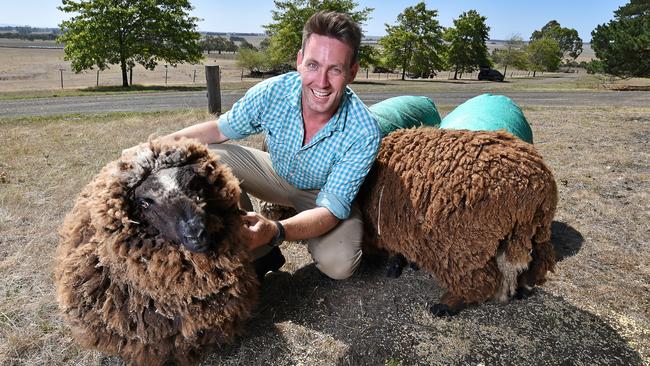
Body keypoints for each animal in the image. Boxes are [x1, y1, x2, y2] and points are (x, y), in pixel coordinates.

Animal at [356, 127, 556, 316]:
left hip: (462, 245)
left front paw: (396, 265)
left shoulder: (388, 225)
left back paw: (446, 305)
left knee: (481, 282)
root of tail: (533, 184)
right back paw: (524, 289)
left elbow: (393, 249)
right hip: (536, 229)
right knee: (538, 260)